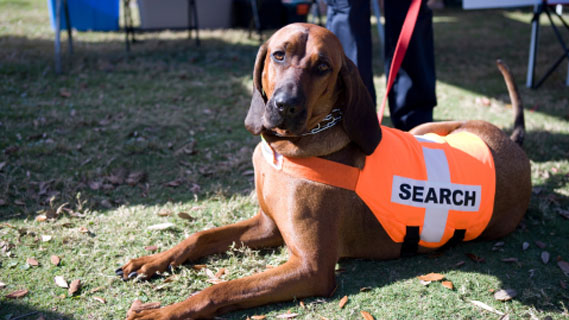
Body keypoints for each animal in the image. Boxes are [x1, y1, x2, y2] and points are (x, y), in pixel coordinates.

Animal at [117, 23, 532, 318]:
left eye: (322, 67)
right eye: (278, 55)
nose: (285, 105)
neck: (287, 151)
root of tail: (514, 144)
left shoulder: (310, 268)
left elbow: (222, 288)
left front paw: (162, 313)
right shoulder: (268, 226)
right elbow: (200, 236)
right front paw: (151, 261)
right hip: (425, 130)